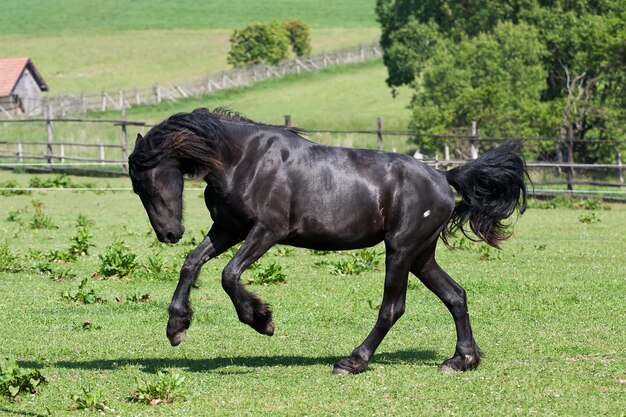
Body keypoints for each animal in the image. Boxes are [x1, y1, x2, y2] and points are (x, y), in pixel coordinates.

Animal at [129, 108, 524, 374]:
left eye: (147, 183)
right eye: (136, 188)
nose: (169, 234)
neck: (241, 158)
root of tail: (444, 178)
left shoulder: (266, 231)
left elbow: (229, 275)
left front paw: (261, 319)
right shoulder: (228, 229)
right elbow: (191, 264)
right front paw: (176, 327)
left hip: (400, 251)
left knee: (393, 308)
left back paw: (353, 361)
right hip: (421, 256)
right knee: (456, 296)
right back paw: (461, 360)